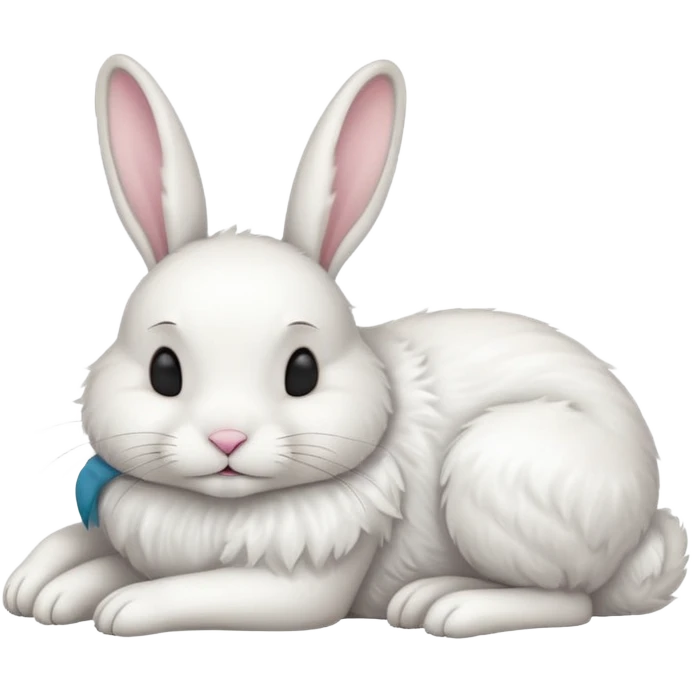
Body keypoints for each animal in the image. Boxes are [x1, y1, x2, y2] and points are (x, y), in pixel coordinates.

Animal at [3, 53, 687, 640]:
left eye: (302, 371)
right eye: (163, 370)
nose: (228, 440)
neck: (223, 505)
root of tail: (640, 529)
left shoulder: (297, 586)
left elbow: (188, 589)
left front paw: (120, 604)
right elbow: (86, 546)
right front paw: (35, 587)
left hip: (499, 471)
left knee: (571, 599)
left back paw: (445, 603)